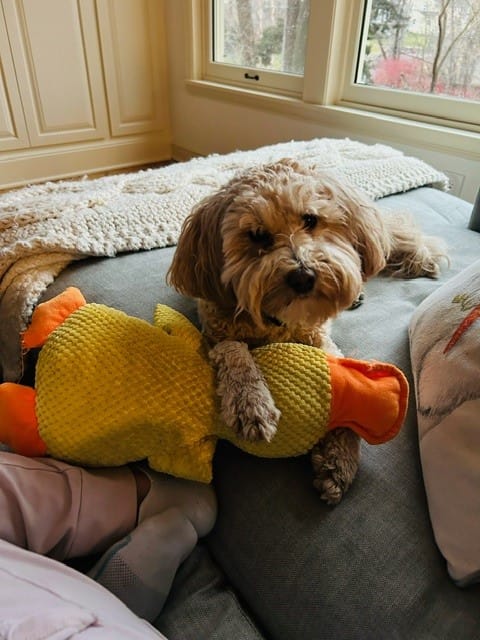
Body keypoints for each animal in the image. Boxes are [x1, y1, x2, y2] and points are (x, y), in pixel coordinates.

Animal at [168, 159, 446, 504]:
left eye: (310, 219)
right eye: (257, 235)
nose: (303, 277)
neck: (276, 321)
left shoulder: (321, 339)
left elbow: (346, 382)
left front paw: (340, 455)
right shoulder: (215, 337)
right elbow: (236, 354)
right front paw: (251, 403)